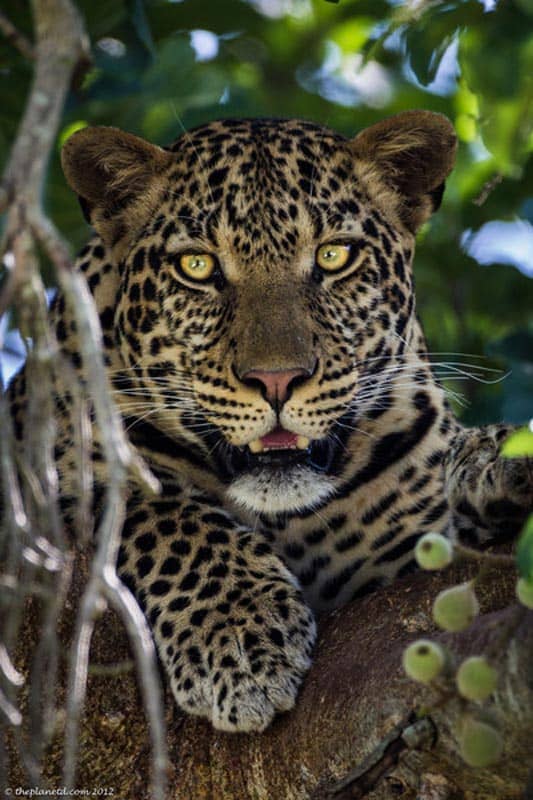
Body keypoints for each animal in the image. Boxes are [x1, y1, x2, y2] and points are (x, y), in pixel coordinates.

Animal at [5, 109, 532, 736]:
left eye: (334, 256)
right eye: (198, 266)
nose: (277, 379)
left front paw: (498, 459)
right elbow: (160, 510)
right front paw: (239, 637)